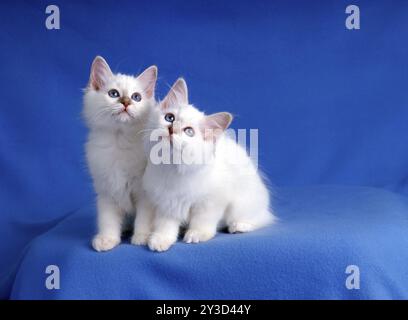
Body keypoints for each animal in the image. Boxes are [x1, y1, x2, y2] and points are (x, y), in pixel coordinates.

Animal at [83, 56, 158, 251]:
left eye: (136, 97)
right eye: (114, 94)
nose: (126, 102)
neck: (120, 141)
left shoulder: (144, 193)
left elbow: (144, 218)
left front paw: (142, 237)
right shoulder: (106, 191)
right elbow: (108, 220)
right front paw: (107, 239)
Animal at [137, 79, 274, 251]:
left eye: (189, 131)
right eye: (170, 118)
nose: (171, 129)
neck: (171, 167)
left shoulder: (210, 202)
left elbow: (202, 221)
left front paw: (196, 235)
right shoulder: (167, 203)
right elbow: (165, 225)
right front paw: (161, 240)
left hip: (241, 205)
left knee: (258, 219)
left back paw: (239, 226)